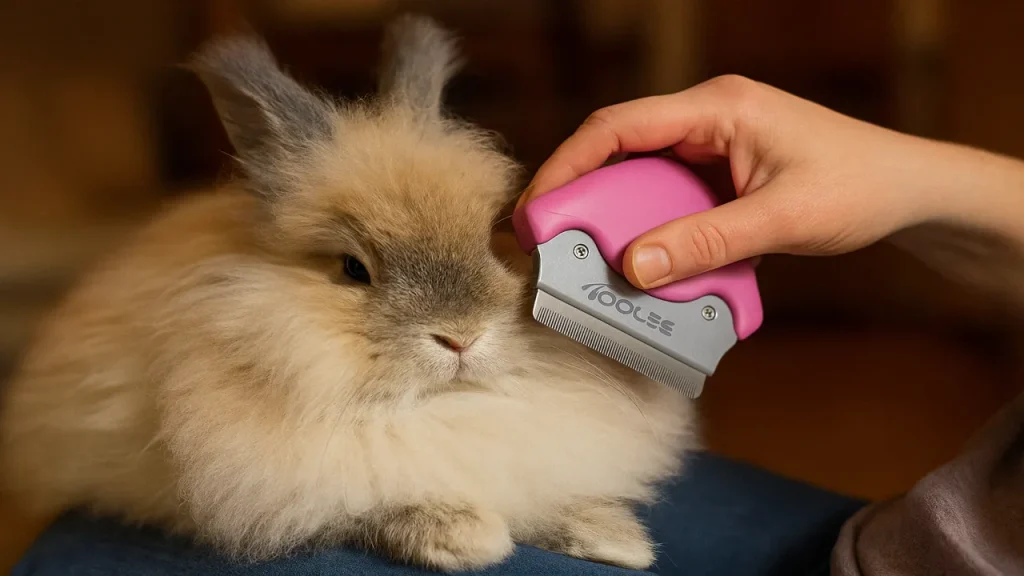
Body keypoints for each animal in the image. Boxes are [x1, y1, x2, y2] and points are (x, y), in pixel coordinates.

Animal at [0, 14, 697, 573]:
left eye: (494, 238)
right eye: (352, 269)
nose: (461, 336)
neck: (438, 408)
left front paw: (615, 538)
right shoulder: (286, 487)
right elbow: (365, 508)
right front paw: (465, 538)